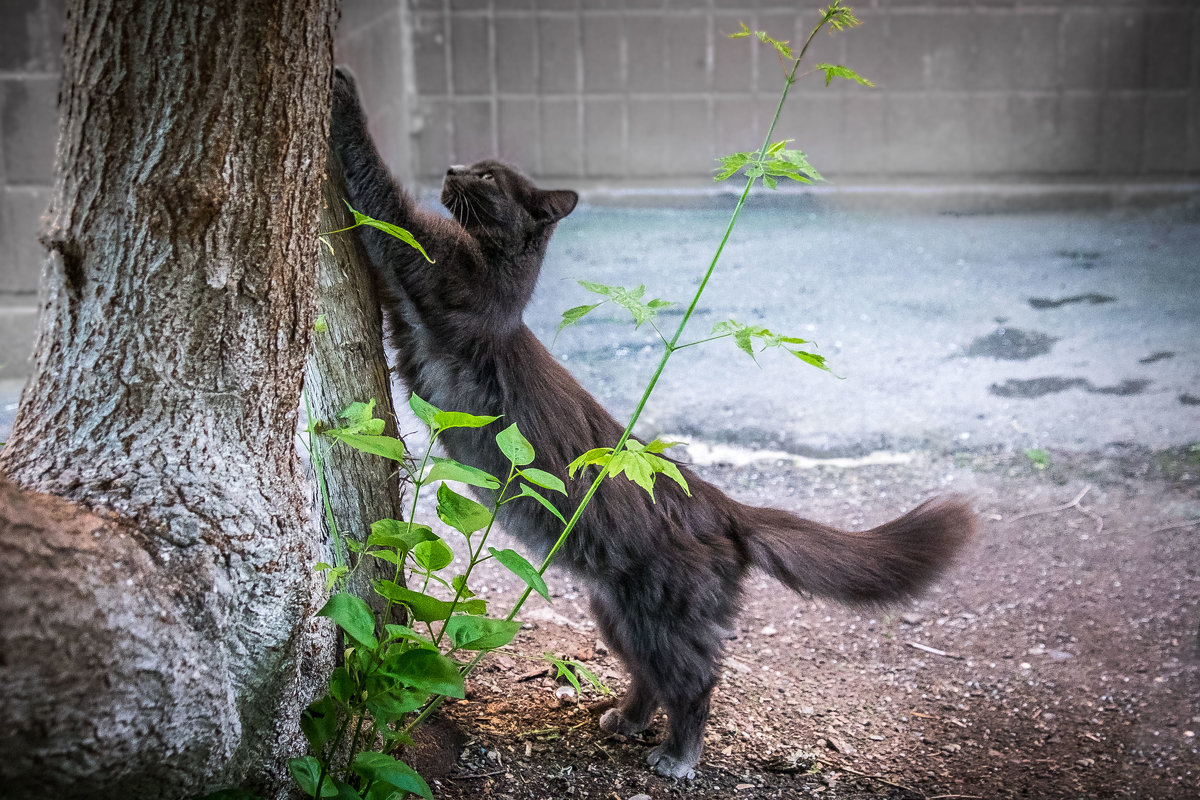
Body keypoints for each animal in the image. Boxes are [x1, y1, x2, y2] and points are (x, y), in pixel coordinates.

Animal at [331, 68, 974, 782]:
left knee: (694, 682)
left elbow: (378, 189)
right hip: (618, 609)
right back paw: (626, 719)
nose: (450, 167)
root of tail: (723, 506)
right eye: (473, 164)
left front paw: (342, 90)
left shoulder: (427, 263)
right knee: (650, 676)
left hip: (665, 615)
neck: (501, 276)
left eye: (488, 177)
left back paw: (678, 755)